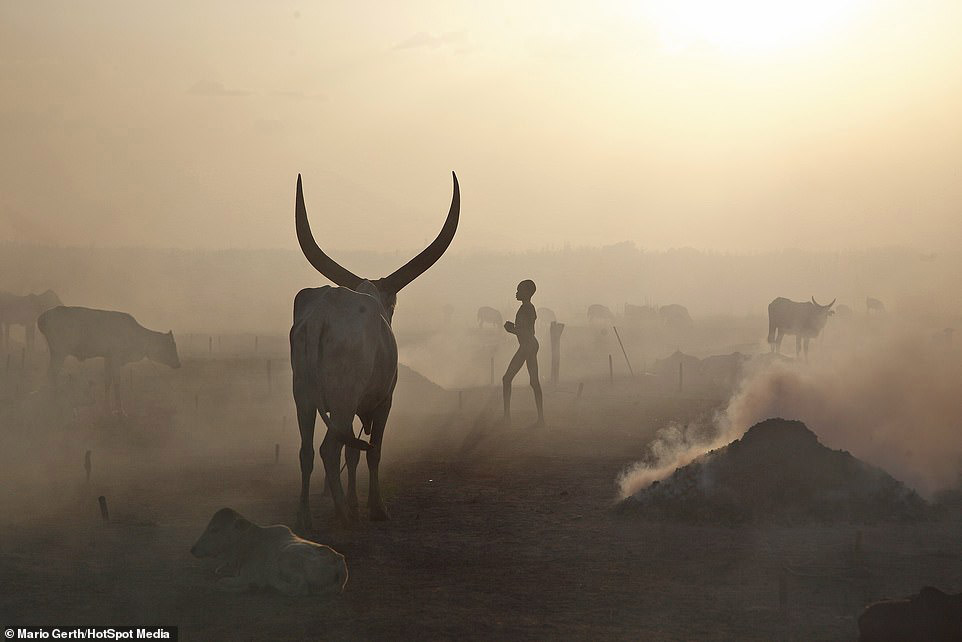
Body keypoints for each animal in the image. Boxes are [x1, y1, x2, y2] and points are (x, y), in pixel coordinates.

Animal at [36, 304, 180, 404]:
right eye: (172, 346)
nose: (178, 363)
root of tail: (42, 318)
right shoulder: (116, 357)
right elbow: (117, 381)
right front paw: (120, 411)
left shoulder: (108, 357)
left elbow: (107, 381)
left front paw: (108, 409)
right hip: (59, 353)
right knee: (51, 374)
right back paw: (55, 401)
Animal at [189, 504, 346, 596]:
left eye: (215, 529)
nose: (193, 549)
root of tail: (337, 558)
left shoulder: (245, 576)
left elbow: (220, 582)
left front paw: (251, 586)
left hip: (286, 559)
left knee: (300, 587)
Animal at [290, 172, 460, 528]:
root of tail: (321, 316)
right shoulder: (383, 402)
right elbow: (374, 451)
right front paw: (375, 508)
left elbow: (354, 453)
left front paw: (357, 503)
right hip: (343, 399)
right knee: (329, 449)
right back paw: (342, 515)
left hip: (304, 398)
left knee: (307, 451)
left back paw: (305, 518)